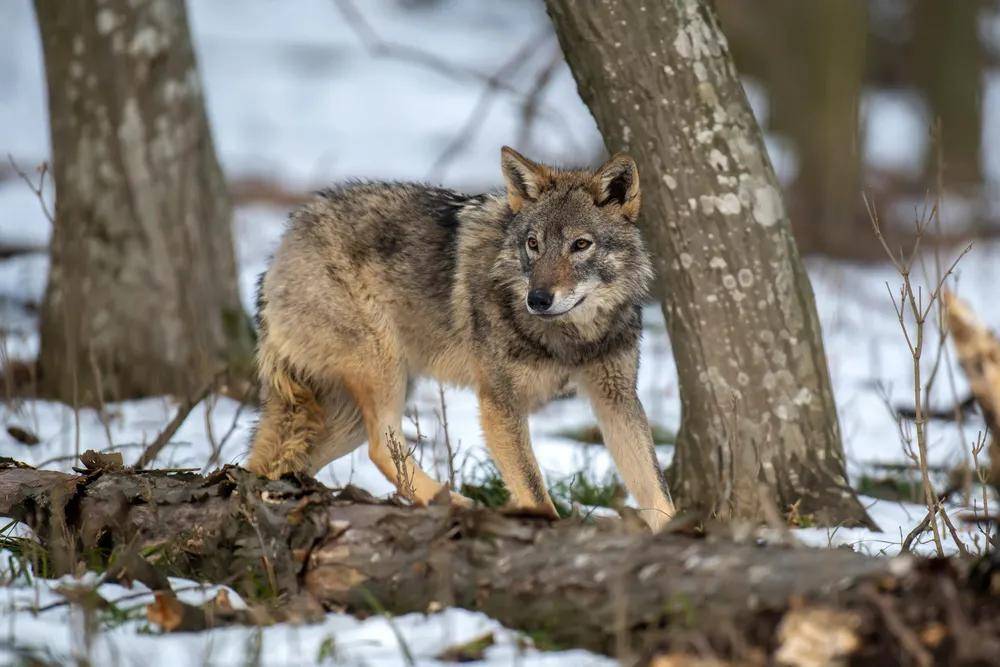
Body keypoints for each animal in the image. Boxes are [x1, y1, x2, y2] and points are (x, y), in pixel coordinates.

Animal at [246, 147, 676, 532]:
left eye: (580, 245)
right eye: (533, 244)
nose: (537, 299)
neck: (573, 337)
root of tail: (283, 241)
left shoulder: (617, 399)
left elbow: (656, 490)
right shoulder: (499, 403)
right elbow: (535, 492)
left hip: (349, 413)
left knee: (283, 464)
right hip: (381, 372)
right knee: (381, 447)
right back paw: (457, 504)